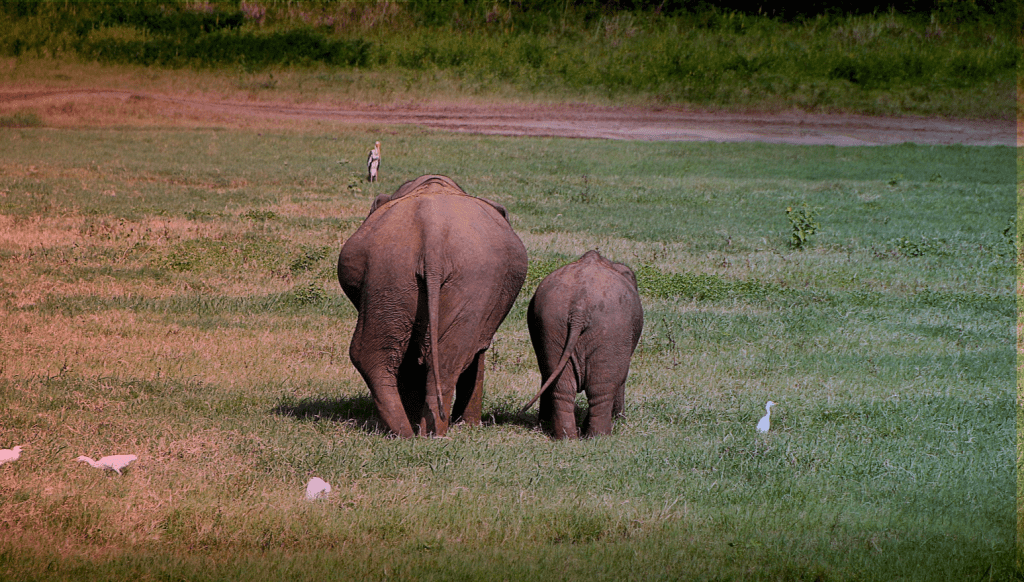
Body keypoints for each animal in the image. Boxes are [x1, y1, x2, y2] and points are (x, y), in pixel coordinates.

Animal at [339, 175, 528, 438]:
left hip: (393, 271)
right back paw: (425, 432)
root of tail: (433, 234)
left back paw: (412, 432)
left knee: (384, 355)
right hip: (437, 275)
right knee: (449, 355)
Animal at [524, 248, 643, 436]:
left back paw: (567, 437)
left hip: (551, 323)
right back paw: (599, 437)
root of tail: (579, 308)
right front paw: (619, 420)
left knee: (561, 387)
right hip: (612, 329)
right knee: (601, 390)